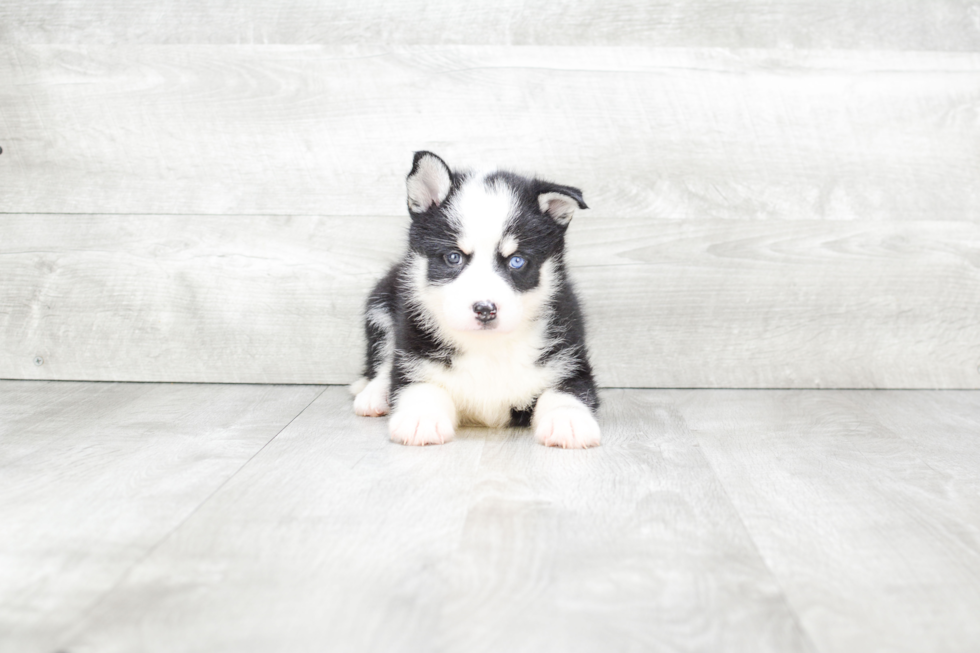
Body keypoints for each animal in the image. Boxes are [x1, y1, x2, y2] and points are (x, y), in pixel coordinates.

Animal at [348, 153, 600, 448]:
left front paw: (568, 421)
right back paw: (374, 394)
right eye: (453, 257)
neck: (488, 347)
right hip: (382, 305)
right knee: (383, 361)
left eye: (517, 261)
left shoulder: (570, 359)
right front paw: (421, 418)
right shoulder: (412, 351)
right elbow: (420, 385)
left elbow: (565, 391)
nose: (485, 309)